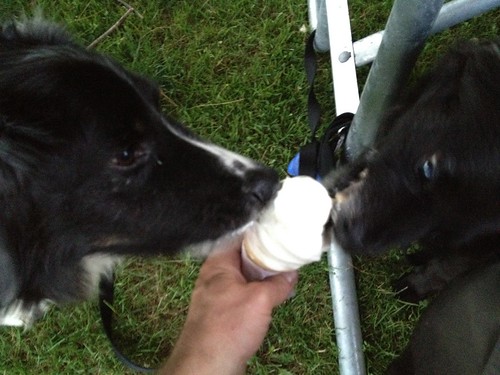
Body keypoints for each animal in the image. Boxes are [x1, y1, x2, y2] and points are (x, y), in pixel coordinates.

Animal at [326, 39, 498, 302]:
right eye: (429, 168)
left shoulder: (477, 244)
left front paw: (413, 287)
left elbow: (447, 267)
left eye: (444, 228)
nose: (347, 237)